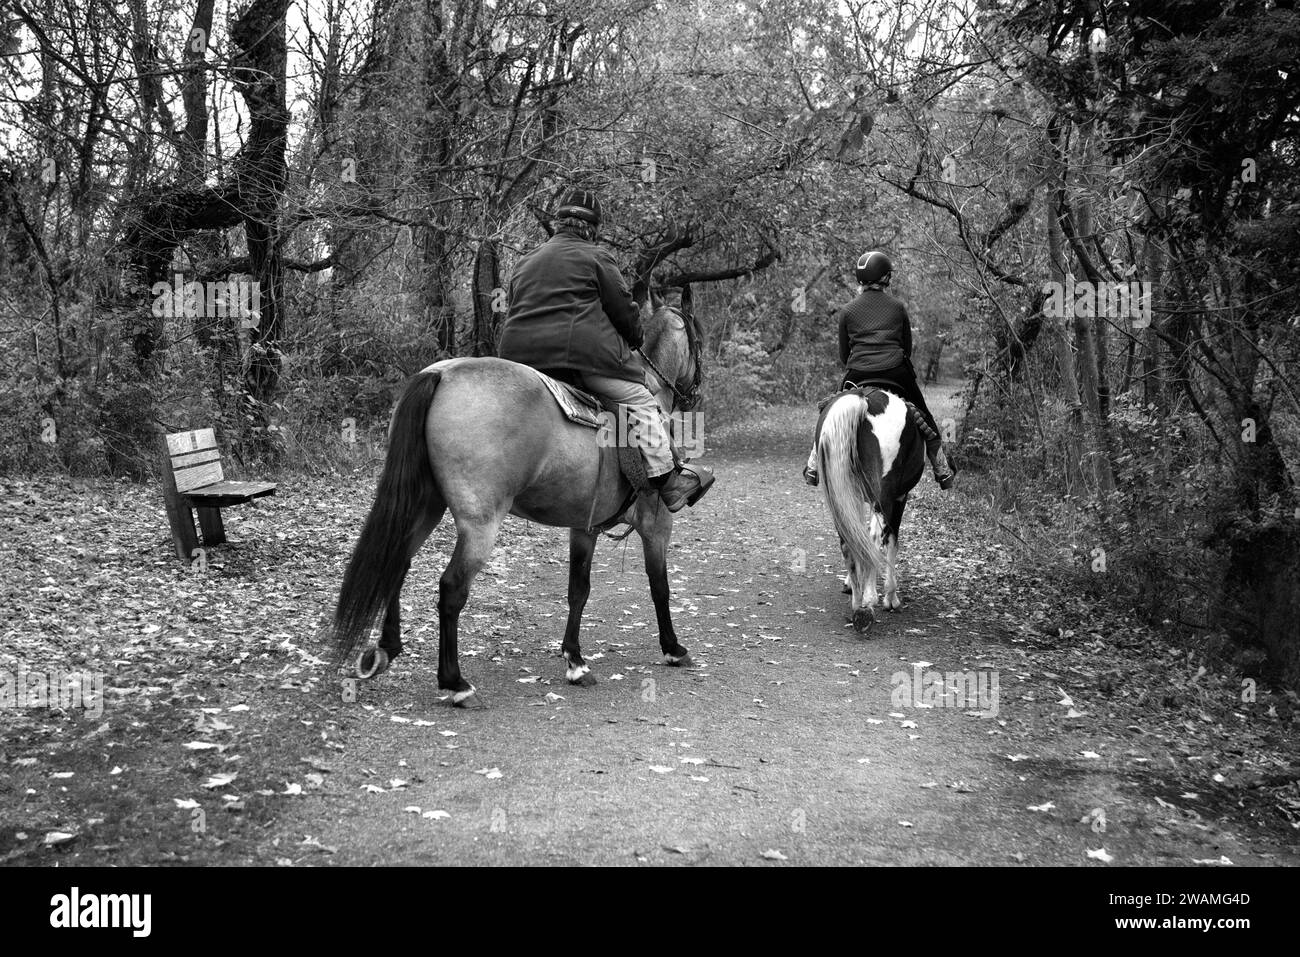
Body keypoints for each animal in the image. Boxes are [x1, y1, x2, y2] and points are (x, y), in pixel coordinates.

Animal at [811, 384, 925, 631]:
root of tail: (863, 400)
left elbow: (857, 538)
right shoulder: (899, 498)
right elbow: (892, 541)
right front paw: (891, 597)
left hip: (840, 491)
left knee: (847, 540)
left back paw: (857, 603)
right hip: (884, 495)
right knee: (874, 538)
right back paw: (869, 601)